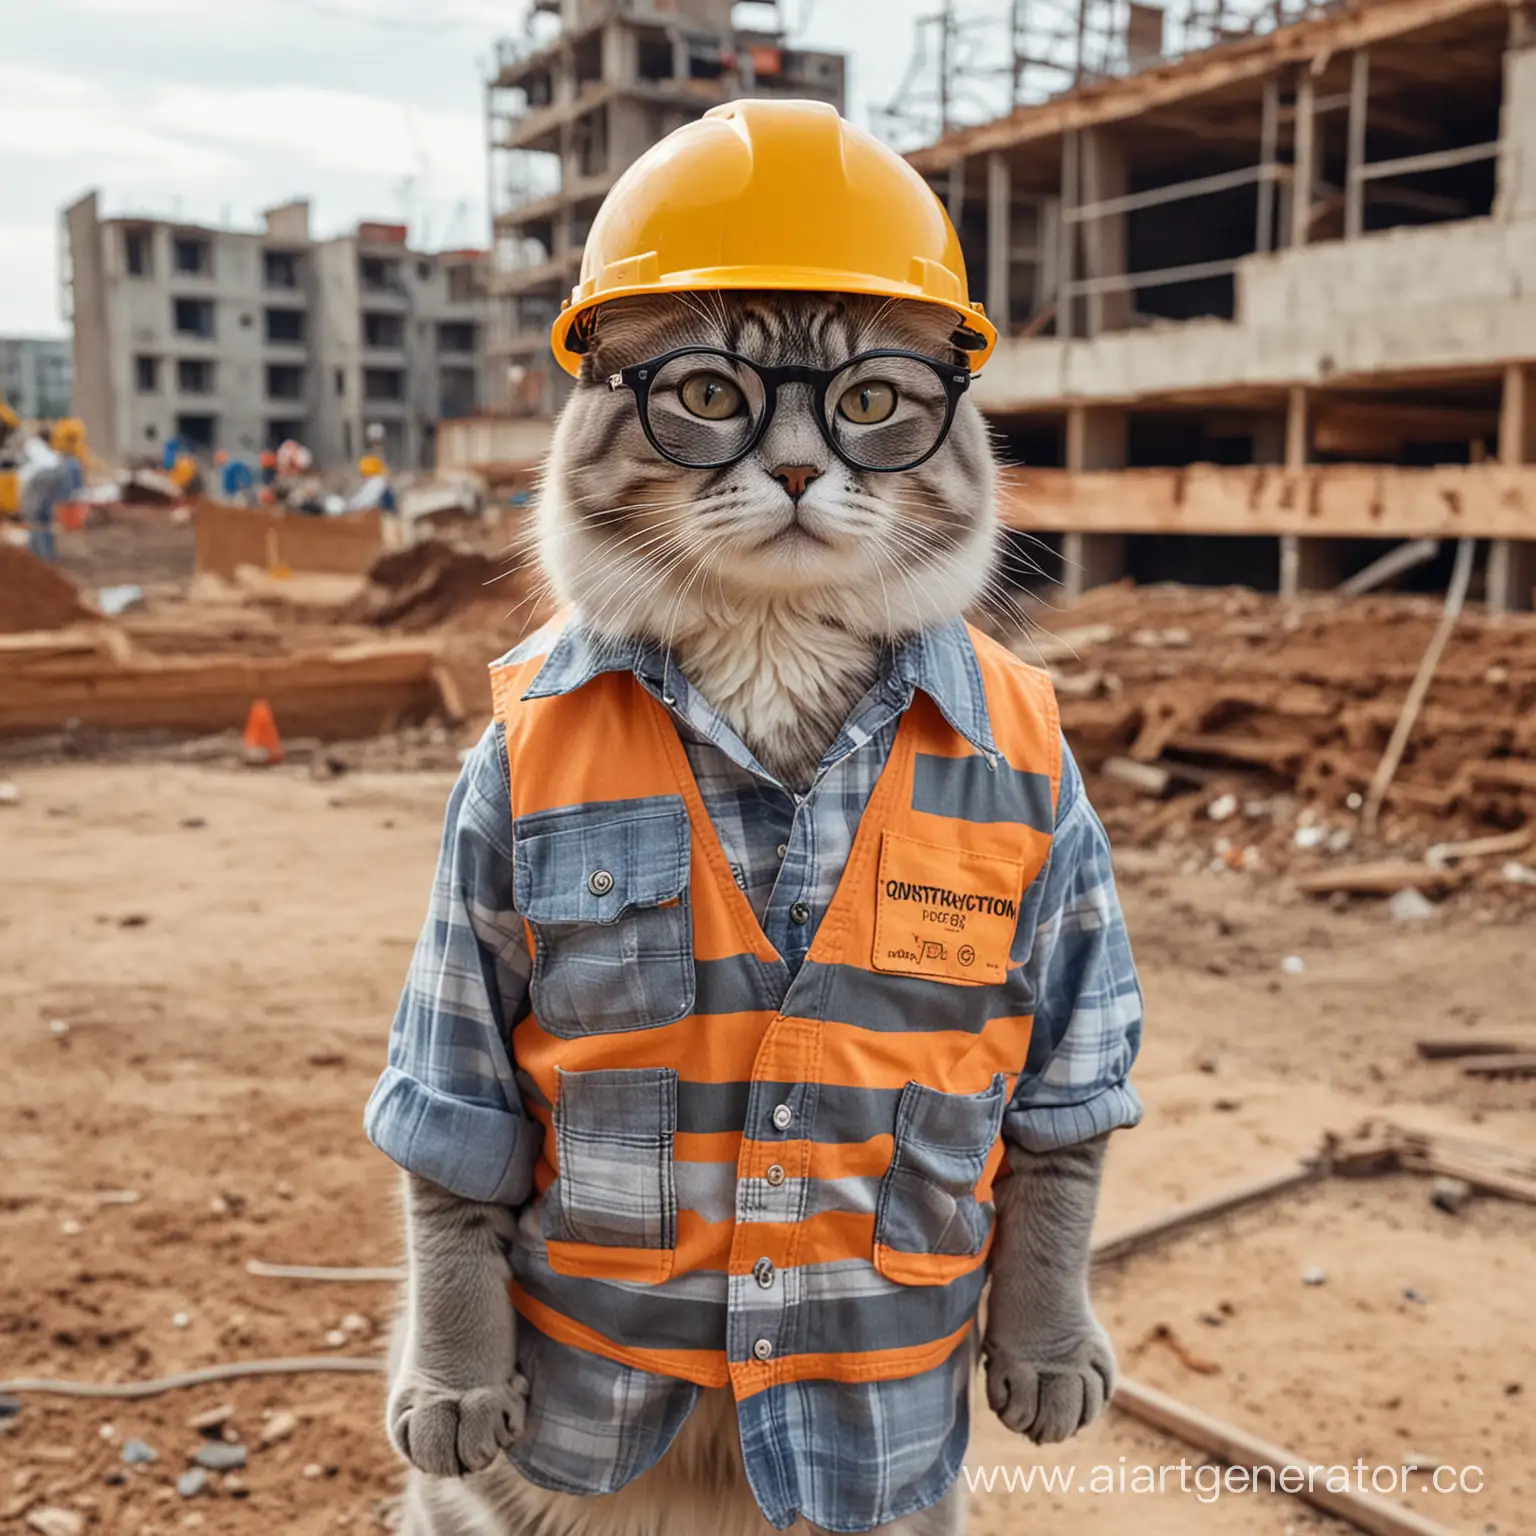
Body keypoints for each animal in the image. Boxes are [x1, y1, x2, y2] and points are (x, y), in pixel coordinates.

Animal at [379, 293, 1112, 1536]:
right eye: (712, 394)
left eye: (870, 400)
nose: (801, 470)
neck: (773, 651)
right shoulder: (469, 911)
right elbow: (449, 1168)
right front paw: (454, 1381)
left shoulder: (1073, 932)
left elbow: (1062, 1159)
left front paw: (1048, 1347)